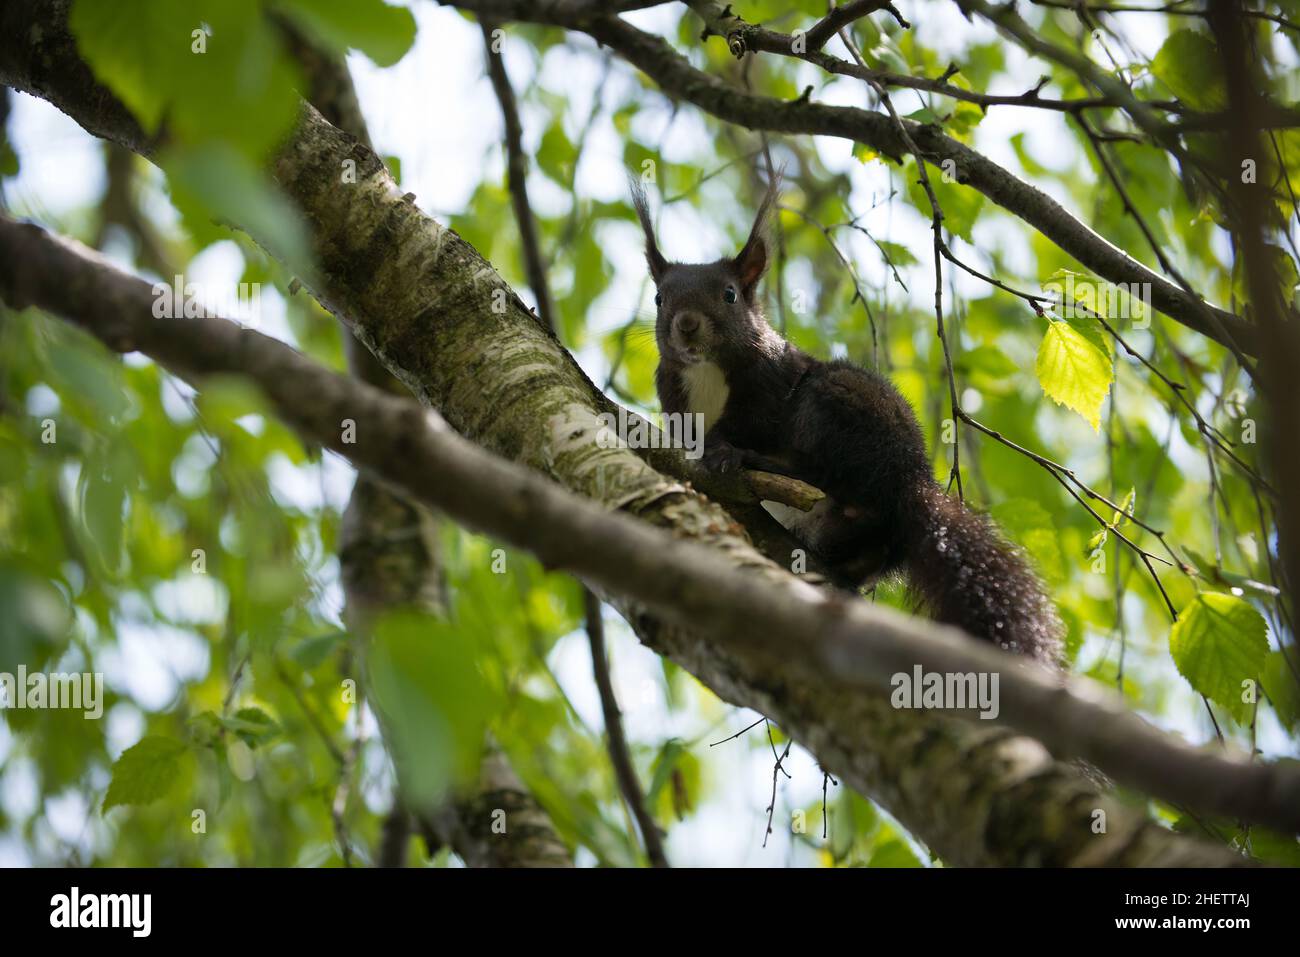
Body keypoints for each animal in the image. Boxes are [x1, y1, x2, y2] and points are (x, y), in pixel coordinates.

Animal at [631, 175, 1066, 660]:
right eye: (659, 297)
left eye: (730, 294)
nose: (686, 324)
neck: (706, 369)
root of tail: (910, 483)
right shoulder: (674, 396)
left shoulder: (773, 383)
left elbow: (753, 423)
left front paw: (724, 450)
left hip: (833, 404)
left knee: (817, 470)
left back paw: (760, 463)